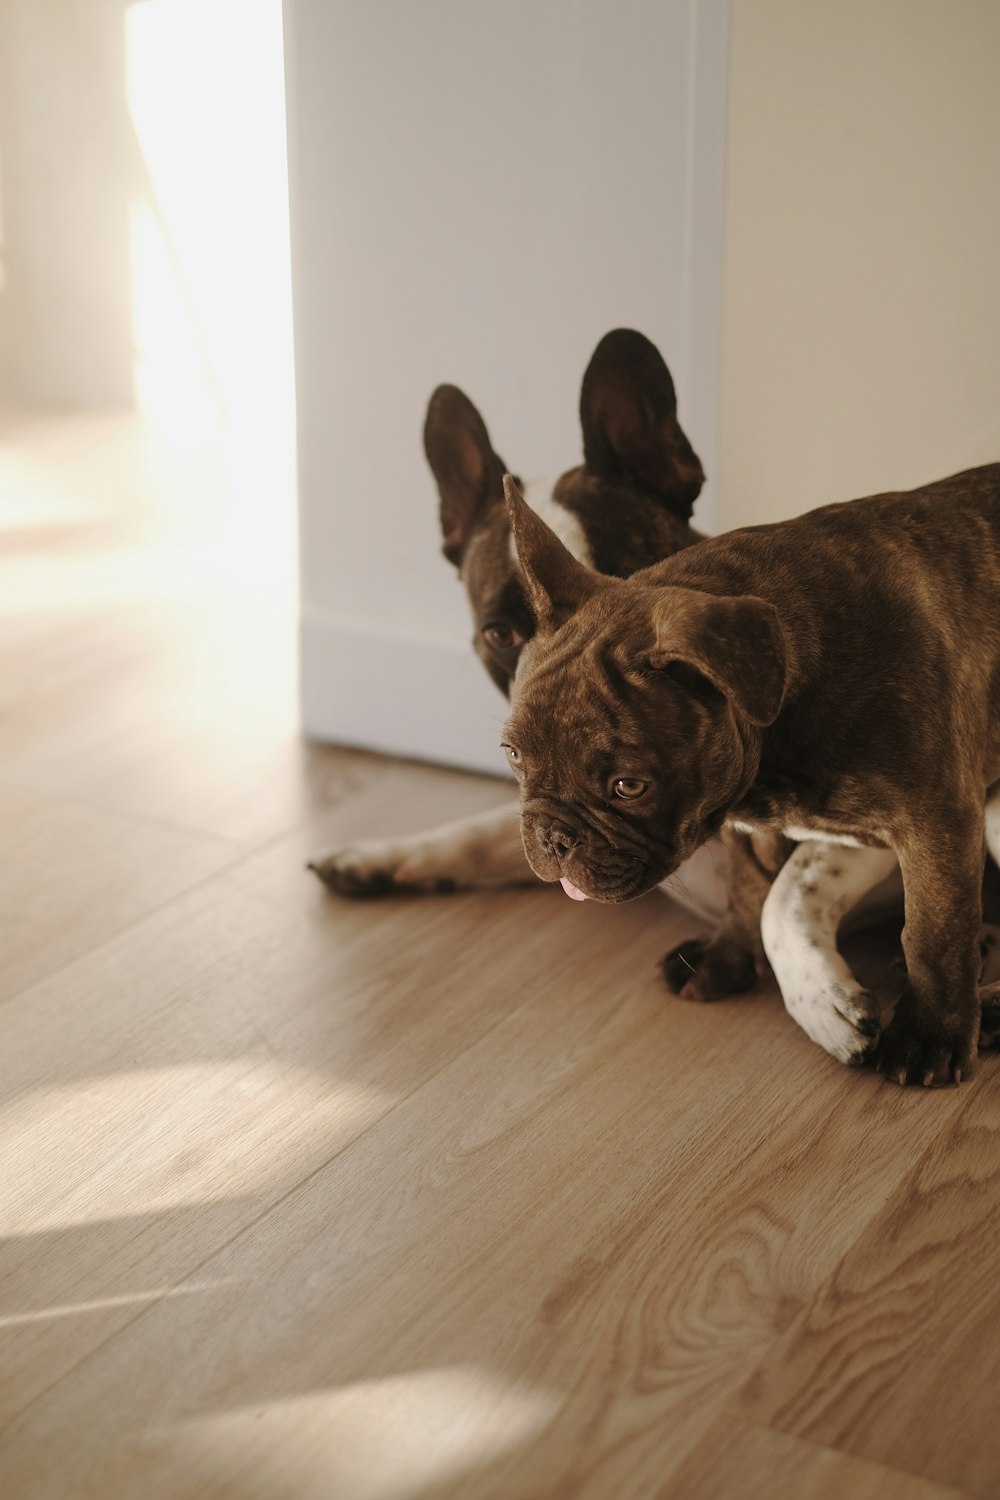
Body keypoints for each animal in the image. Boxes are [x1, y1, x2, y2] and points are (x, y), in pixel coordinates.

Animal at [503, 465, 1000, 1080]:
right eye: (513, 755)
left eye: (629, 787)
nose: (553, 837)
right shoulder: (751, 817)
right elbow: (752, 895)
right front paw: (729, 958)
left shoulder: (936, 821)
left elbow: (934, 929)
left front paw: (930, 1035)